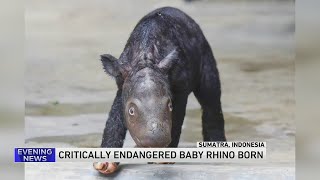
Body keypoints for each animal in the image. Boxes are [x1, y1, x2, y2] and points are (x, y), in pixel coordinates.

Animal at [94, 7, 226, 174]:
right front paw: (105, 163)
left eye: (169, 106)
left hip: (205, 53)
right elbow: (114, 117)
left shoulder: (180, 87)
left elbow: (177, 118)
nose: (155, 143)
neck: (145, 58)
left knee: (210, 99)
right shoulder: (122, 82)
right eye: (131, 111)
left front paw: (163, 158)